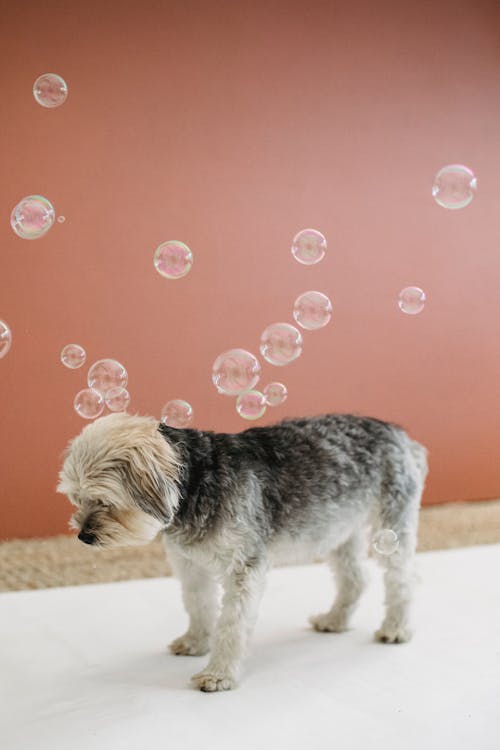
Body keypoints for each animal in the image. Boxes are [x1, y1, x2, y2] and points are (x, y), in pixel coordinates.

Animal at [57, 414, 426, 696]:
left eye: (104, 501)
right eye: (77, 498)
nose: (83, 536)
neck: (196, 481)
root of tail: (402, 436)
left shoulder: (244, 569)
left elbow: (231, 626)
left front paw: (219, 675)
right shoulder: (189, 565)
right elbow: (199, 607)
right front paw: (196, 642)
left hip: (391, 529)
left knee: (403, 580)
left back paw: (396, 629)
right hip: (338, 530)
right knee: (356, 579)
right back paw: (334, 620)